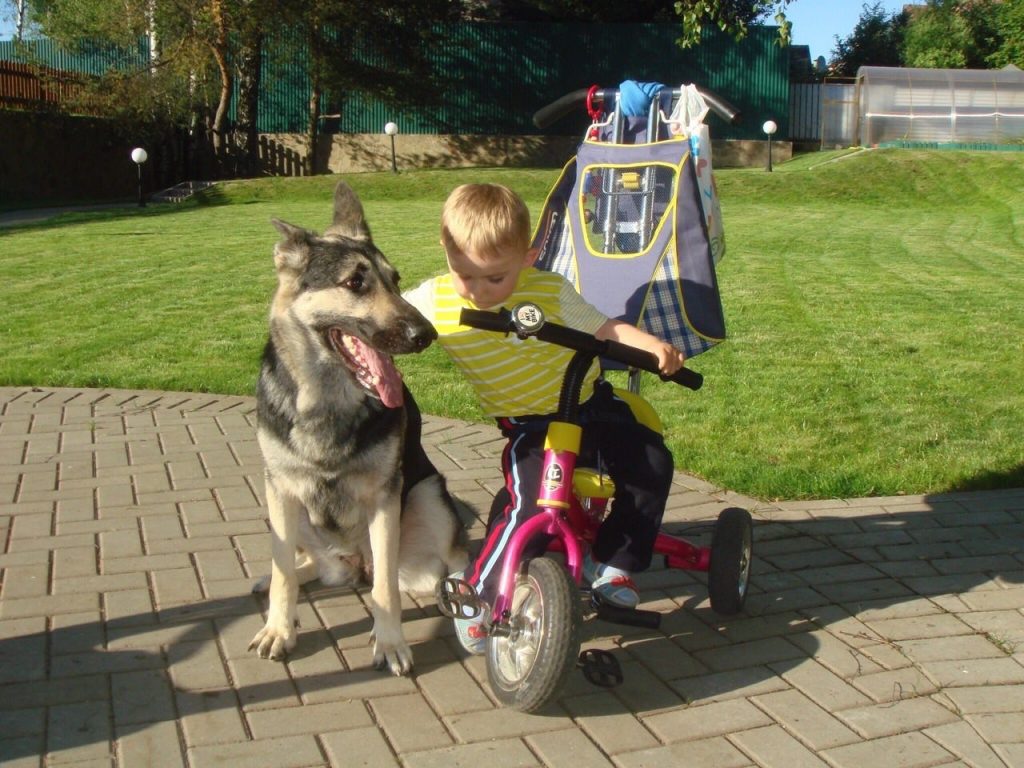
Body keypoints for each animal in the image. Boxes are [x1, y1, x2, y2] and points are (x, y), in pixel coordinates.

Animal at [249, 181, 466, 676]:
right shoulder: (281, 489)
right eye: (355, 282)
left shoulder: (385, 498)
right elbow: (284, 573)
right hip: (285, 512)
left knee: (450, 563)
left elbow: (385, 587)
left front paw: (390, 643)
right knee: (303, 564)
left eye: (396, 280)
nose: (426, 335)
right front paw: (279, 627)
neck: (326, 400)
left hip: (429, 494)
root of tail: (353, 562)